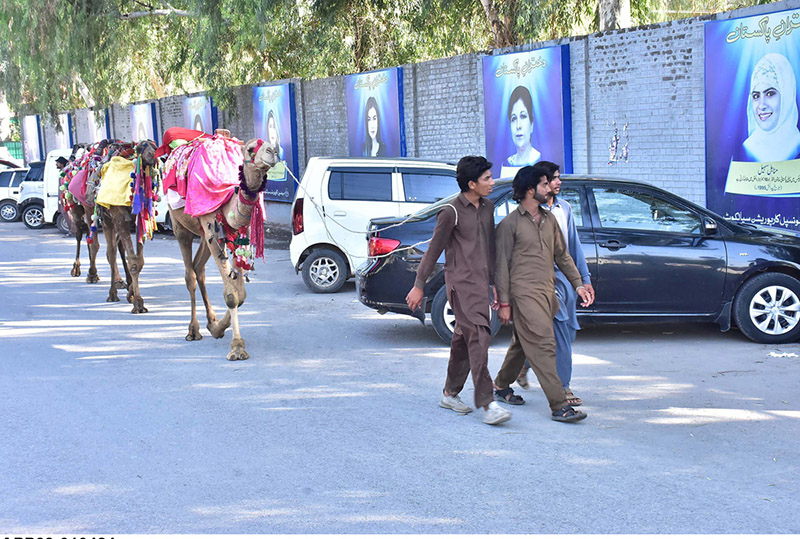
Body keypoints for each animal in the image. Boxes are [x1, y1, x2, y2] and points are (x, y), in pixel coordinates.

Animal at [167, 134, 280, 362]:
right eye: (251, 149)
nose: (272, 151)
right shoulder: (210, 224)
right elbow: (231, 295)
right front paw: (237, 347)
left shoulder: (238, 234)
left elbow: (241, 294)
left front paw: (218, 328)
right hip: (179, 225)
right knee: (189, 275)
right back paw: (193, 330)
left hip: (203, 234)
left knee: (198, 267)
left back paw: (211, 321)